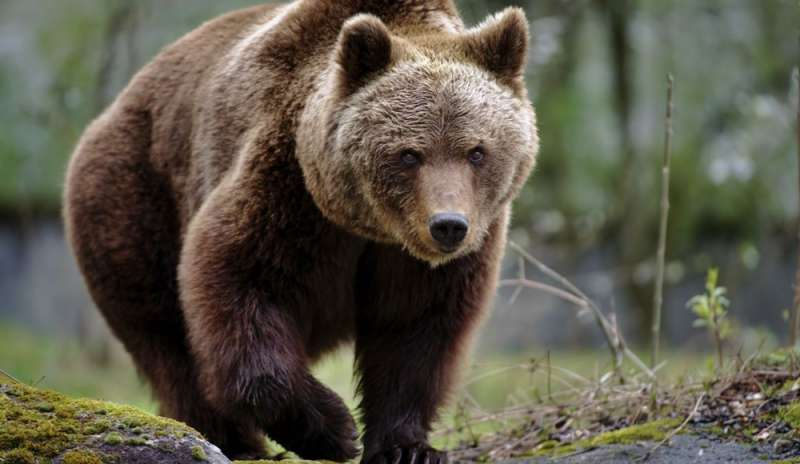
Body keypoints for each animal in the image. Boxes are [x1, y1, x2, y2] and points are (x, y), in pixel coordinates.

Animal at [63, 1, 539, 462]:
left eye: (477, 151)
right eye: (409, 154)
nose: (448, 226)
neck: (367, 226)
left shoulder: (426, 258)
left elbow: (415, 330)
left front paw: (407, 447)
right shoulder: (286, 188)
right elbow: (240, 282)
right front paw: (334, 429)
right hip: (134, 198)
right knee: (165, 334)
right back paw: (232, 441)